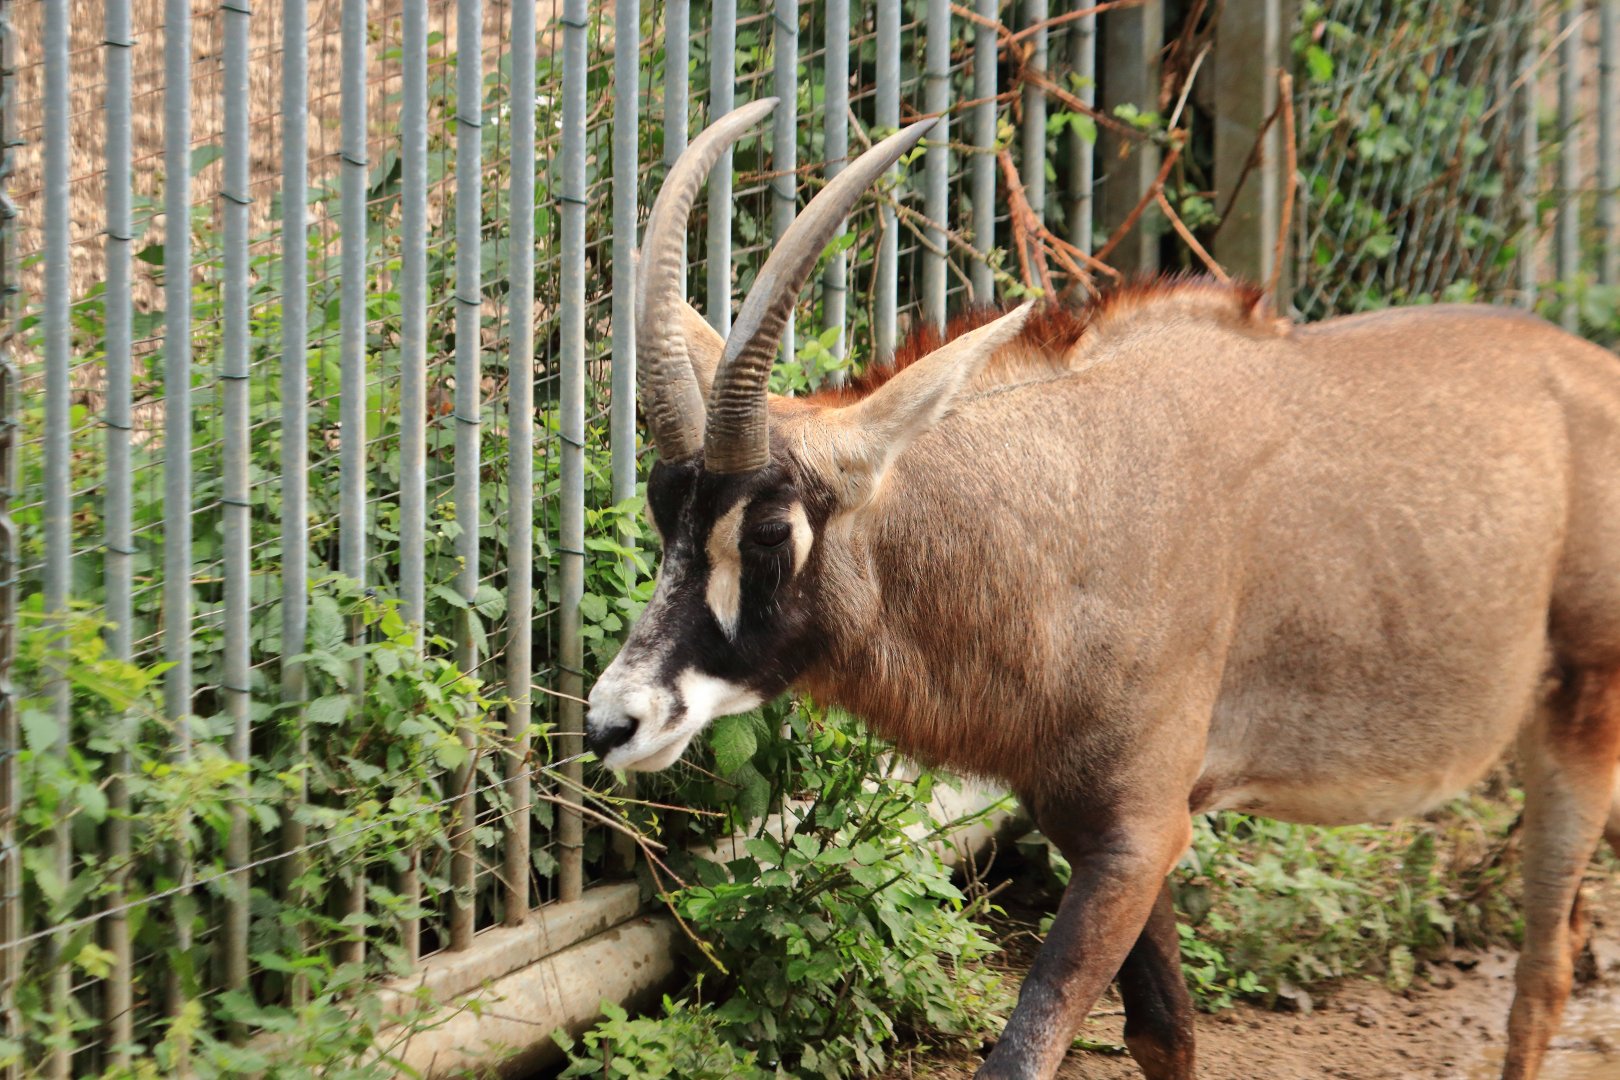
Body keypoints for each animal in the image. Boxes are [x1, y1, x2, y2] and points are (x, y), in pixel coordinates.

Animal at [583, 99, 1620, 1080]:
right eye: (663, 510)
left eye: (767, 530)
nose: (612, 722)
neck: (1071, 514)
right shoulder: (1096, 827)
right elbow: (1165, 1035)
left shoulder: (1137, 835)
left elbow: (1025, 1052)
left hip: (1583, 719)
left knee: (1542, 973)